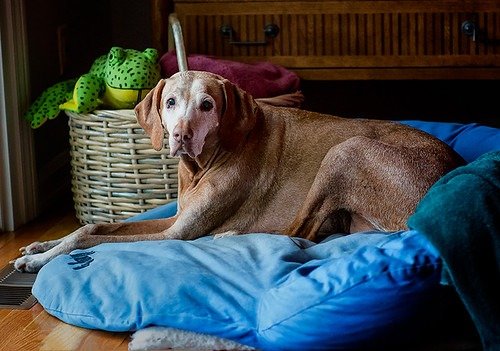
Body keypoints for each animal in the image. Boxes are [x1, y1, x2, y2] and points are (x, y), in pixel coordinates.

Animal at [13, 70, 462, 274]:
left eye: (207, 105)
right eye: (170, 102)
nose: (180, 136)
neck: (201, 165)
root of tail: (452, 166)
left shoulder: (176, 234)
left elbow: (94, 239)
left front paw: (43, 260)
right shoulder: (175, 221)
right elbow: (93, 227)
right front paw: (40, 247)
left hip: (345, 150)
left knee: (299, 233)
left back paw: (232, 237)